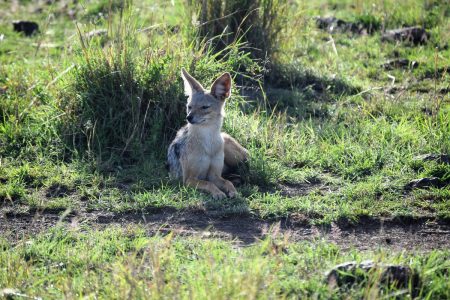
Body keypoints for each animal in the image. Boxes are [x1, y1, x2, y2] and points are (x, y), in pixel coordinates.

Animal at [168, 68, 248, 199]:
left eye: (204, 107)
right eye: (189, 107)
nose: (188, 117)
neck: (208, 144)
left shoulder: (214, 175)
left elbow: (227, 182)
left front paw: (233, 191)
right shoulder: (188, 179)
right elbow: (208, 184)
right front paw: (218, 193)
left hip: (233, 154)